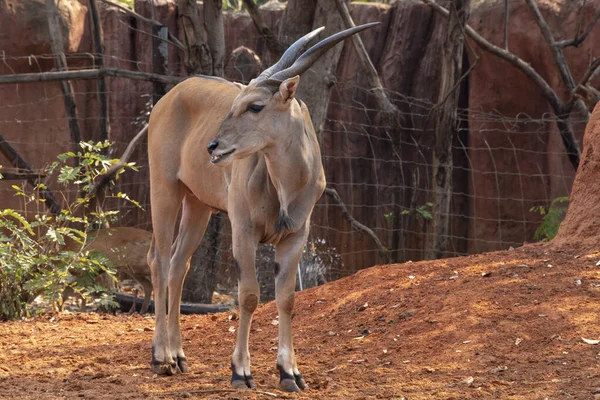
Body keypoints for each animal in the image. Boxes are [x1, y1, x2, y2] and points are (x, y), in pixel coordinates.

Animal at [146, 23, 378, 392]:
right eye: (236, 105)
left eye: (255, 106)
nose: (214, 145)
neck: (286, 185)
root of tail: (169, 97)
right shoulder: (243, 231)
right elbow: (250, 296)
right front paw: (241, 372)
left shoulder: (295, 236)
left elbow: (286, 298)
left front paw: (290, 372)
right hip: (165, 190)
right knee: (160, 260)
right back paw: (161, 358)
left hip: (198, 205)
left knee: (179, 264)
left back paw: (179, 356)